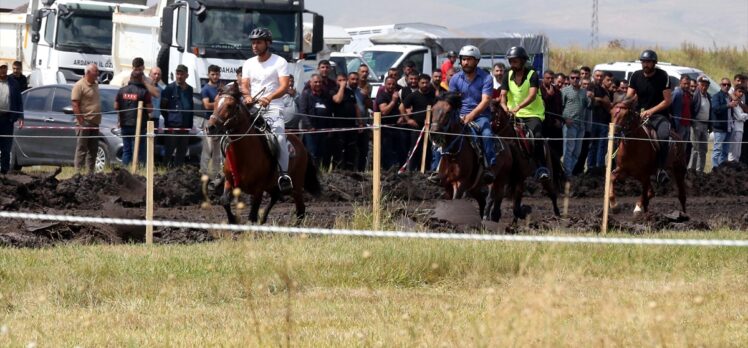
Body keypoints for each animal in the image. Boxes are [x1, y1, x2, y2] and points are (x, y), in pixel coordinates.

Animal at [207, 84, 322, 226]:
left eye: (230, 105)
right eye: (215, 102)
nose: (210, 127)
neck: (243, 154)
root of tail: (301, 144)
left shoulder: (258, 189)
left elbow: (252, 215)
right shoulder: (229, 181)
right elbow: (224, 201)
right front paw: (233, 220)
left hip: (296, 185)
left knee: (300, 210)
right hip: (272, 185)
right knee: (275, 196)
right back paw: (263, 219)